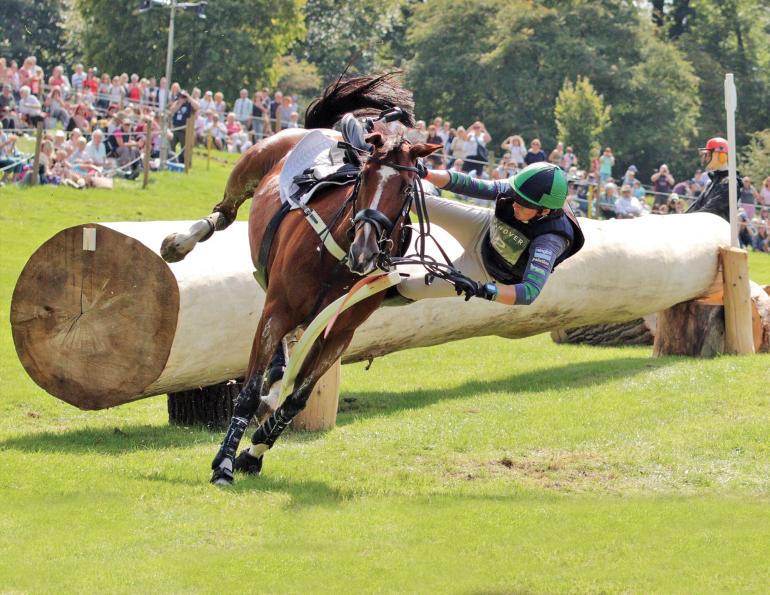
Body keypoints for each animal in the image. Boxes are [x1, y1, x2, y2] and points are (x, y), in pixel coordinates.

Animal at [160, 74, 442, 485]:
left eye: (405, 189)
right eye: (365, 177)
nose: (364, 250)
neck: (336, 259)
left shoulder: (338, 334)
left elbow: (296, 399)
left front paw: (253, 452)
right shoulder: (277, 312)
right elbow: (248, 393)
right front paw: (224, 463)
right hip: (251, 165)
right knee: (224, 212)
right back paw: (178, 243)